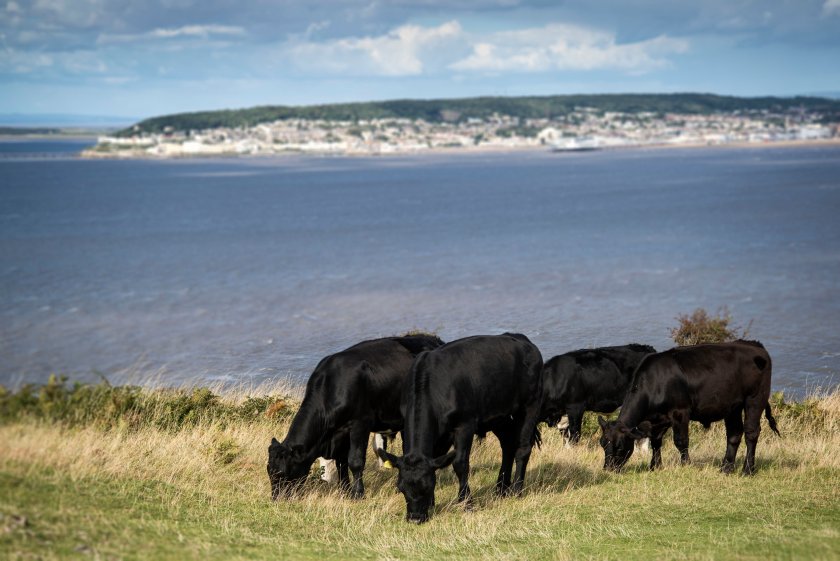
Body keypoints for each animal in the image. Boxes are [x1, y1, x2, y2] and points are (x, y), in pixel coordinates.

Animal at [270, 332, 442, 498]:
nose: (277, 498)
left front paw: (357, 493)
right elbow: (341, 461)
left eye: (282, 473)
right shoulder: (341, 432)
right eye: (269, 472)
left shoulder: (360, 424)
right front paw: (344, 490)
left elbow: (355, 461)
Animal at [376, 330, 544, 524]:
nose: (415, 518)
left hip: (531, 404)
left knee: (523, 448)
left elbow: (460, 464)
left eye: (426, 487)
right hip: (499, 415)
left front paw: (466, 503)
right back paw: (501, 490)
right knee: (508, 445)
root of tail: (522, 340)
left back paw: (517, 490)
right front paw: (432, 504)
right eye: (402, 487)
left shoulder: (464, 425)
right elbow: (436, 460)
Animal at [596, 340, 780, 474]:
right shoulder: (657, 420)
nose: (608, 469)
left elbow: (681, 441)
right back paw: (726, 468)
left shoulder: (680, 412)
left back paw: (747, 470)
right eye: (603, 444)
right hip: (733, 406)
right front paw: (655, 466)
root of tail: (754, 345)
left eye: (620, 446)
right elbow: (656, 442)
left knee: (751, 433)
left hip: (755, 399)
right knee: (734, 434)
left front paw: (685, 465)